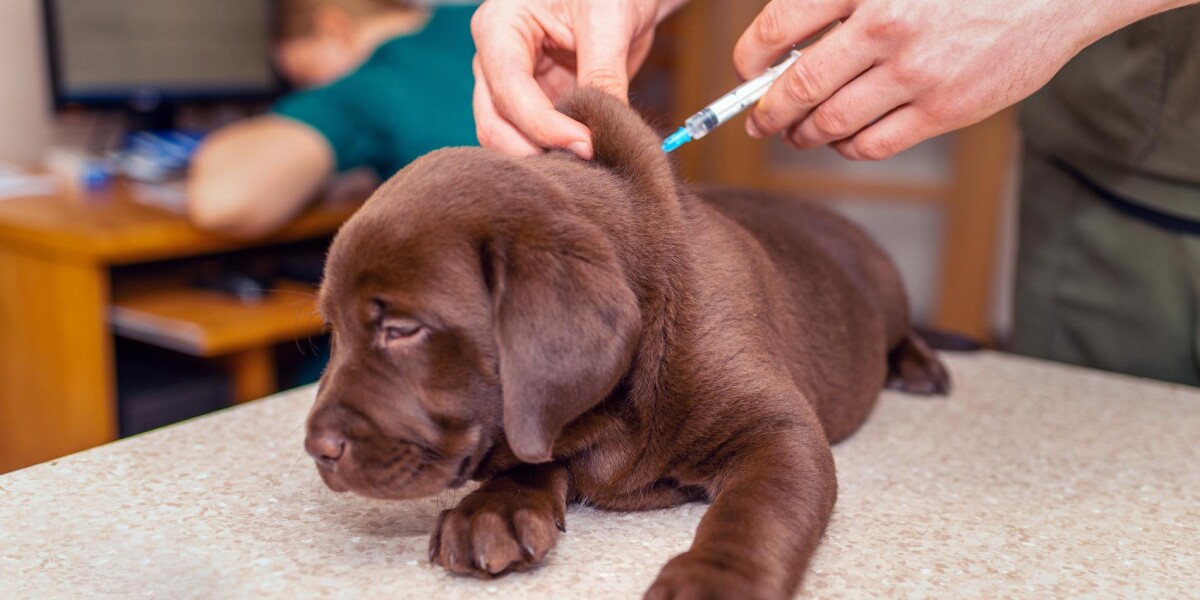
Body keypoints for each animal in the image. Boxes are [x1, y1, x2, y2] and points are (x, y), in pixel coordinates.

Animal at [307, 88, 945, 600]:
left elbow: (755, 512)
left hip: (886, 292)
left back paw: (922, 366)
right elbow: (532, 456)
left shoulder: (781, 432)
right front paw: (493, 510)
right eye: (333, 329)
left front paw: (714, 582)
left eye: (402, 330)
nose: (317, 448)